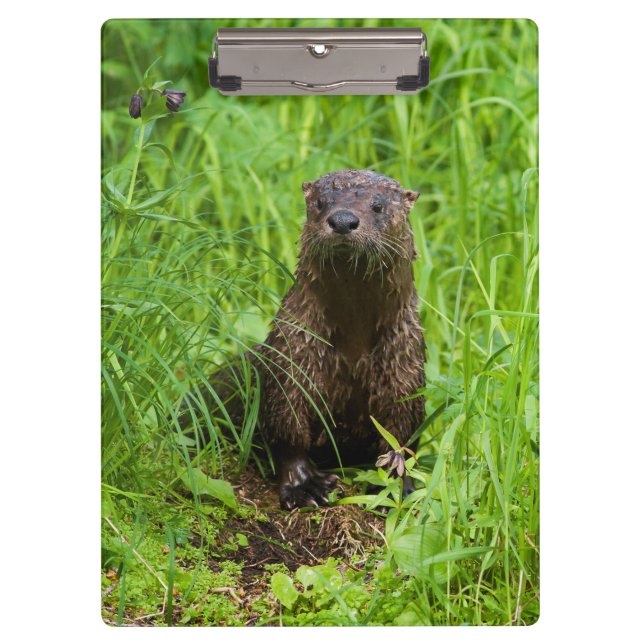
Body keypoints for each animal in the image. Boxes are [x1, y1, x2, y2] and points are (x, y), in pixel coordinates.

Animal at [255, 169, 426, 510]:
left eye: (377, 206)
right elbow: (286, 426)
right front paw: (305, 484)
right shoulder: (292, 354)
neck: (353, 349)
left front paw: (396, 485)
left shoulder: (405, 365)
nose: (343, 220)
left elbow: (402, 434)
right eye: (321, 203)